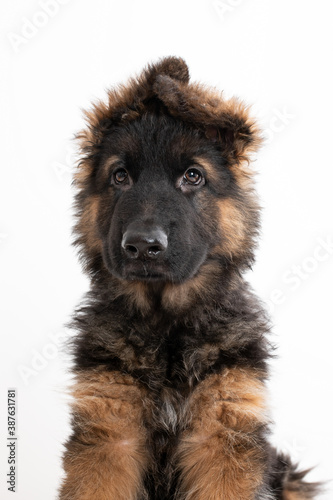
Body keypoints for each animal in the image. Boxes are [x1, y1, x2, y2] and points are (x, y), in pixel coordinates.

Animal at [59, 56, 320, 498]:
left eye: (193, 176)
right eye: (120, 176)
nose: (142, 245)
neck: (166, 326)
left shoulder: (221, 437)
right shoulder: (109, 434)